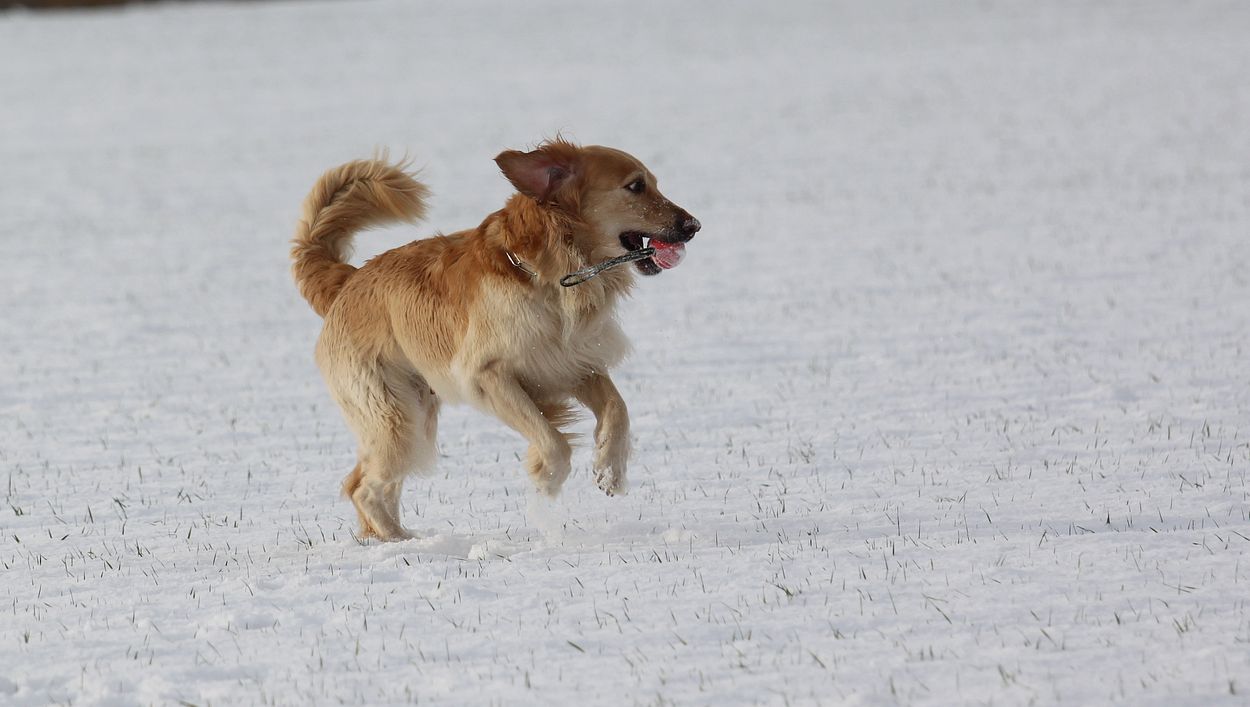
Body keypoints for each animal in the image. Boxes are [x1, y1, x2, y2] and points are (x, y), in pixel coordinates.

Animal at [290, 139, 700, 541]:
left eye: (654, 182)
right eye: (636, 186)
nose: (693, 225)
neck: (553, 273)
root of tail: (348, 281)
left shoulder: (573, 364)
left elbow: (618, 410)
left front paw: (609, 470)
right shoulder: (488, 377)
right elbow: (553, 441)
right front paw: (546, 480)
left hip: (413, 416)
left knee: (362, 481)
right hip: (395, 416)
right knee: (365, 488)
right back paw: (403, 542)